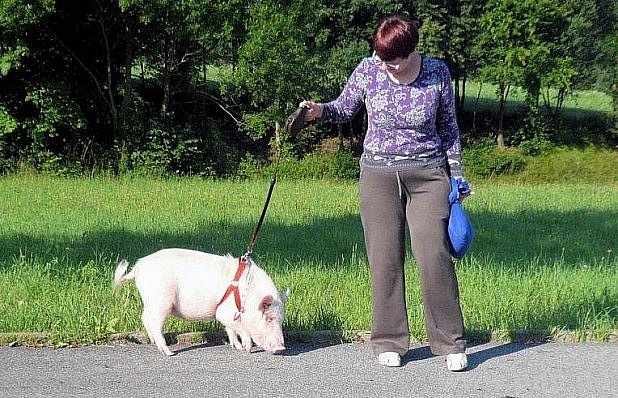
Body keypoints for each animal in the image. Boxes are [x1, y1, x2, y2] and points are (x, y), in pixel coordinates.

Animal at [112, 247, 288, 356]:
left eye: (281, 320)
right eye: (269, 318)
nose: (281, 348)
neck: (246, 296)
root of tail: (138, 268)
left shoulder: (228, 314)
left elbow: (231, 329)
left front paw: (237, 347)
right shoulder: (224, 312)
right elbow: (241, 328)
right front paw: (247, 349)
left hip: (152, 302)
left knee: (144, 318)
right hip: (161, 301)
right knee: (154, 323)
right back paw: (169, 353)